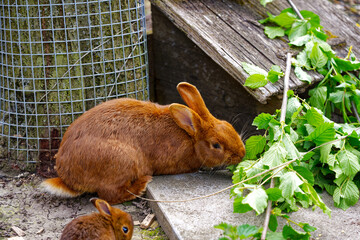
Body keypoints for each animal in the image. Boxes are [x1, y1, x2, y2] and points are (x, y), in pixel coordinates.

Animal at [40, 81, 246, 203]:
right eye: (216, 145)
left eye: (228, 125)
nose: (242, 154)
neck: (191, 136)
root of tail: (67, 178)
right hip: (123, 160)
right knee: (109, 195)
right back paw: (142, 184)